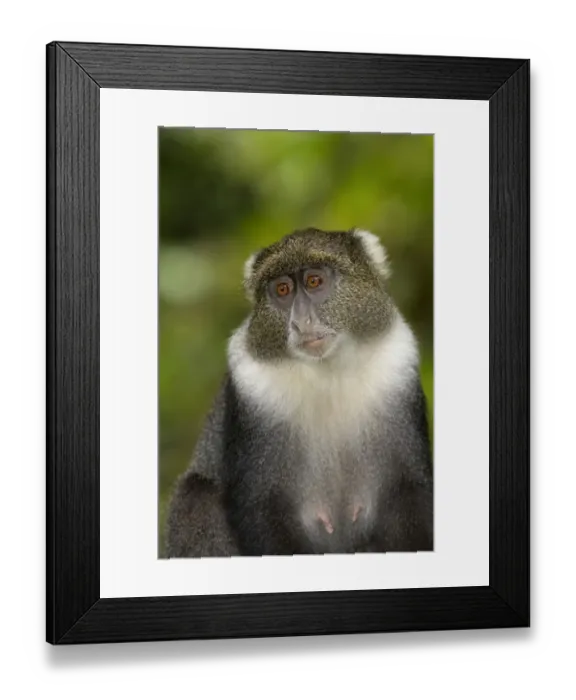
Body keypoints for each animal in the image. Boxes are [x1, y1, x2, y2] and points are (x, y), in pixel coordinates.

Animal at [164, 227, 433, 558]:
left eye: (314, 281)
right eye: (282, 290)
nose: (301, 322)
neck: (328, 373)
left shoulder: (396, 369)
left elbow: (409, 492)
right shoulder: (254, 388)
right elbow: (263, 508)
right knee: (196, 496)